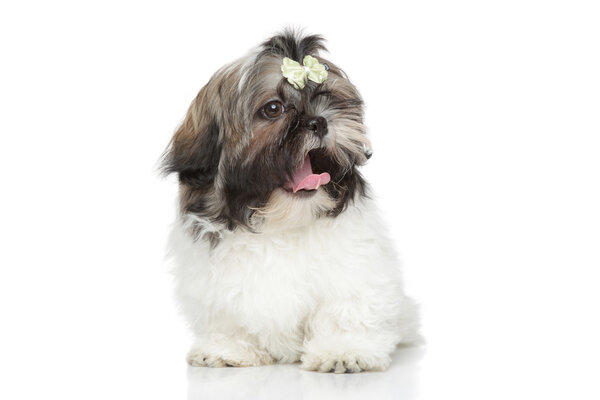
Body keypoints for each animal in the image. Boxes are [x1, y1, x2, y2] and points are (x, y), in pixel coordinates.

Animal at [162, 29, 420, 374]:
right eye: (273, 109)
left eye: (326, 97)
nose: (319, 121)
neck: (279, 224)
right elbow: (228, 317)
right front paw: (229, 349)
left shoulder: (355, 266)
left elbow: (346, 308)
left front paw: (344, 349)